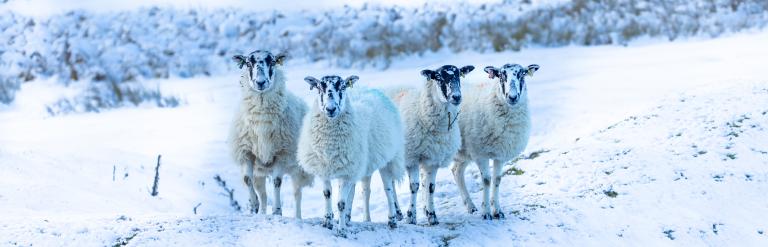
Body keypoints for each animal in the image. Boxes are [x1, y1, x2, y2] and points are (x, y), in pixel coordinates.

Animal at [228, 49, 312, 218]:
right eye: (248, 63)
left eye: (272, 62)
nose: (260, 82)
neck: (262, 120)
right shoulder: (246, 152)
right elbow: (247, 180)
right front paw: (253, 206)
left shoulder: (281, 152)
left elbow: (277, 181)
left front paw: (277, 211)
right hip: (260, 171)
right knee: (263, 194)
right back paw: (261, 211)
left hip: (298, 169)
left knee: (297, 194)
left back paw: (297, 217)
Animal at [298, 74, 408, 236]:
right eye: (319, 88)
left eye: (343, 87)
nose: (330, 109)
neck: (329, 144)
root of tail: (371, 88)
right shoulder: (326, 168)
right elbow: (327, 195)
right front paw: (328, 222)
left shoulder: (348, 171)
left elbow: (341, 203)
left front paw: (341, 230)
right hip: (361, 164)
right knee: (362, 190)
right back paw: (352, 218)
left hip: (388, 159)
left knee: (388, 188)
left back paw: (392, 219)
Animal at [388, 64, 476, 225]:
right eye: (439, 77)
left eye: (459, 75)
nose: (456, 97)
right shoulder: (411, 158)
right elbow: (414, 186)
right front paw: (411, 216)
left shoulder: (433, 160)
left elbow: (430, 188)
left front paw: (432, 216)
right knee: (390, 183)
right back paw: (397, 212)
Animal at [450, 63, 540, 220]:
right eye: (501, 75)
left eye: (522, 74)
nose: (512, 97)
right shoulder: (480, 153)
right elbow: (486, 180)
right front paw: (486, 212)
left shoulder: (500, 154)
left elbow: (497, 179)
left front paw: (497, 211)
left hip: (463, 152)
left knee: (456, 171)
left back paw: (470, 206)